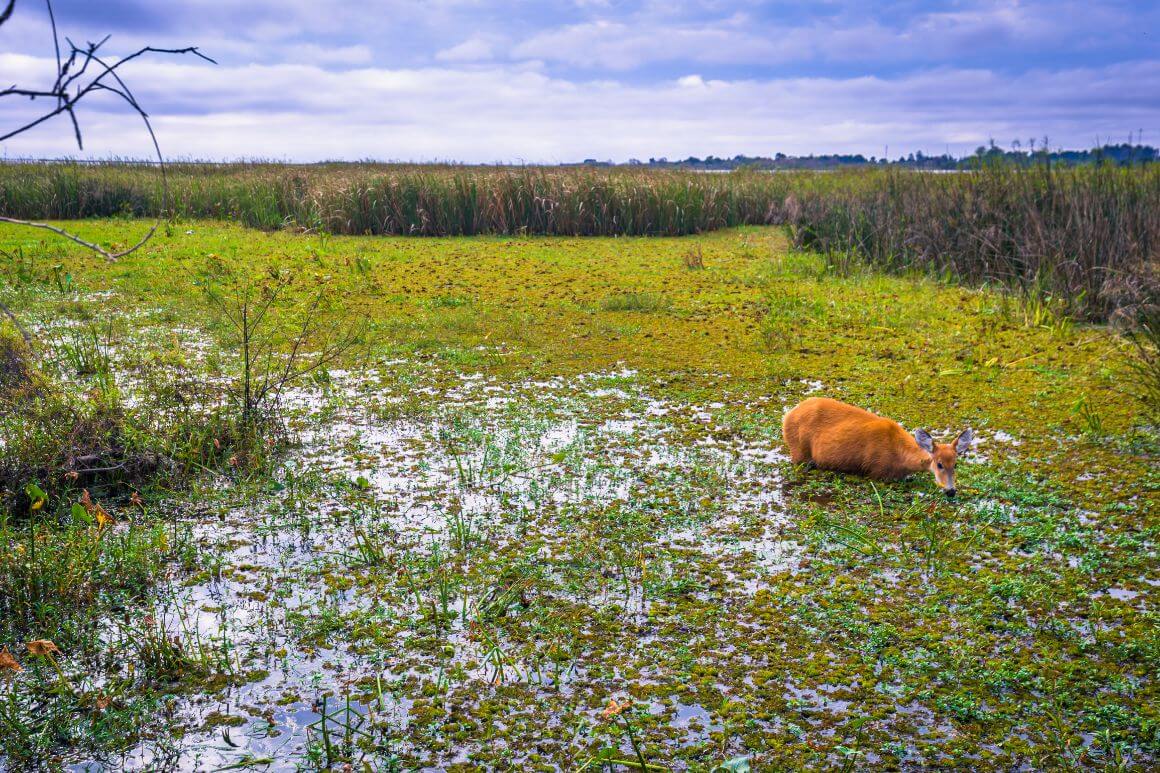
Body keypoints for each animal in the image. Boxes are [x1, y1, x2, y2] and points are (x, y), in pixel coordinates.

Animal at [784, 394, 974, 496]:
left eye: (955, 464)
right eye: (939, 464)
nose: (951, 491)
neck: (900, 458)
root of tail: (787, 416)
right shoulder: (877, 470)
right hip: (798, 451)